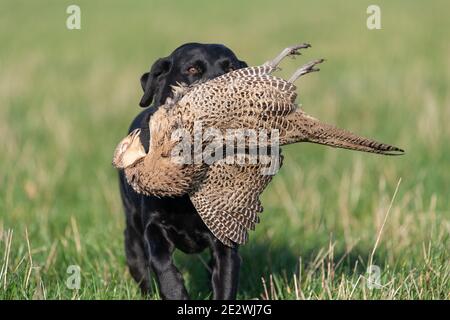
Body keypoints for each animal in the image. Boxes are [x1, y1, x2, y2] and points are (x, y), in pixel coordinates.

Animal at [118, 43, 248, 300]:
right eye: (192, 69)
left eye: (231, 68)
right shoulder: (155, 226)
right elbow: (162, 264)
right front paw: (176, 292)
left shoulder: (224, 239)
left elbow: (225, 279)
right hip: (133, 230)